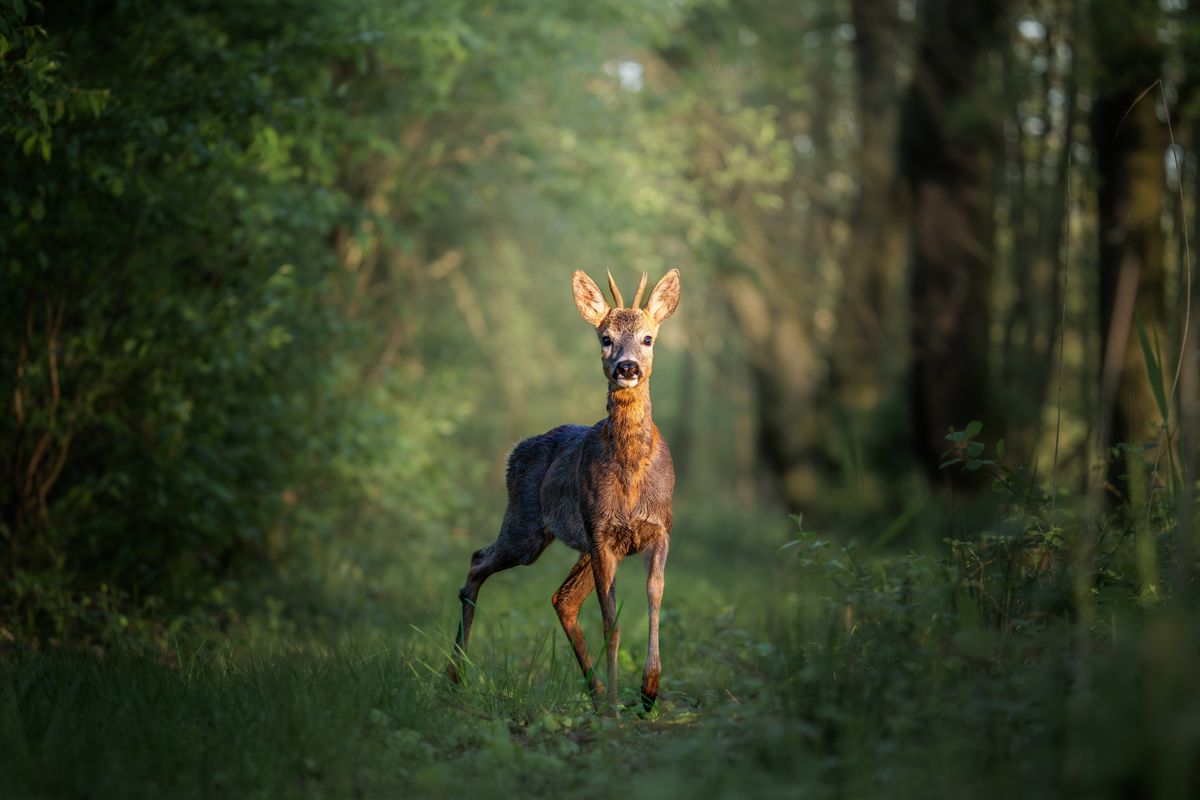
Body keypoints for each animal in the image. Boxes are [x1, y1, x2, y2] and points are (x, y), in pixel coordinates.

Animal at [446, 267, 681, 714]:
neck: (631, 475)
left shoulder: (660, 528)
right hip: (527, 527)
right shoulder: (602, 533)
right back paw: (454, 677)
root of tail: (514, 452)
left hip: (574, 543)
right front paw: (618, 708)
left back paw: (596, 692)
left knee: (563, 599)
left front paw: (648, 691)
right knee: (478, 560)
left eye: (648, 338)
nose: (626, 367)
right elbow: (611, 621)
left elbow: (656, 596)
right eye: (605, 337)